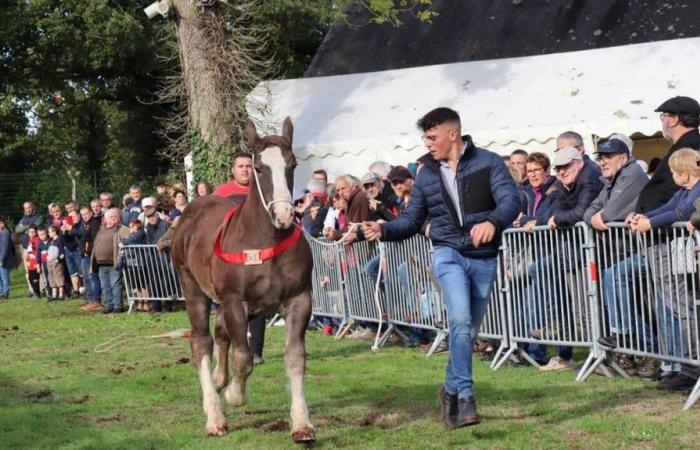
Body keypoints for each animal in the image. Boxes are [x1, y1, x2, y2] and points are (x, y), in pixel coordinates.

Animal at [174, 117, 316, 442]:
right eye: (259, 167)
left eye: (292, 165)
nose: (284, 215)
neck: (266, 241)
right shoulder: (234, 302)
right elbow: (243, 357)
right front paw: (234, 396)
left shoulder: (299, 299)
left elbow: (295, 358)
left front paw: (302, 424)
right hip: (194, 291)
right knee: (201, 342)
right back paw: (214, 413)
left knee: (220, 333)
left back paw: (218, 380)